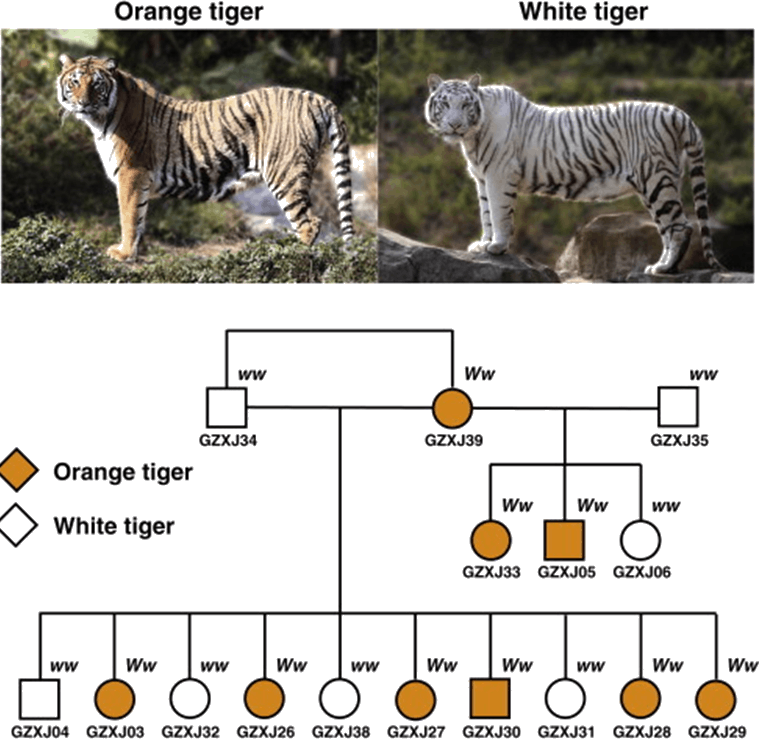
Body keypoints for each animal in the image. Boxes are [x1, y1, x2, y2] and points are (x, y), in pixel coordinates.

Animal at [58, 55, 353, 261]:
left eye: (96, 84)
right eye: (75, 81)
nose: (82, 103)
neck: (102, 119)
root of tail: (316, 98)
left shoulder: (132, 173)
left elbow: (129, 217)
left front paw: (123, 254)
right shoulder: (136, 179)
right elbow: (139, 217)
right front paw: (135, 252)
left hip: (286, 172)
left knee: (310, 223)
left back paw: (291, 255)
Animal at [425, 74, 725, 273]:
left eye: (466, 105)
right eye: (445, 104)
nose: (455, 125)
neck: (473, 136)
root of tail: (678, 113)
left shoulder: (500, 174)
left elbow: (499, 214)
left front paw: (498, 247)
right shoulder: (483, 178)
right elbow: (486, 213)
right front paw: (483, 245)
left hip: (655, 178)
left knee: (681, 226)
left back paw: (663, 269)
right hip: (658, 181)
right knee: (668, 226)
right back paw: (662, 267)